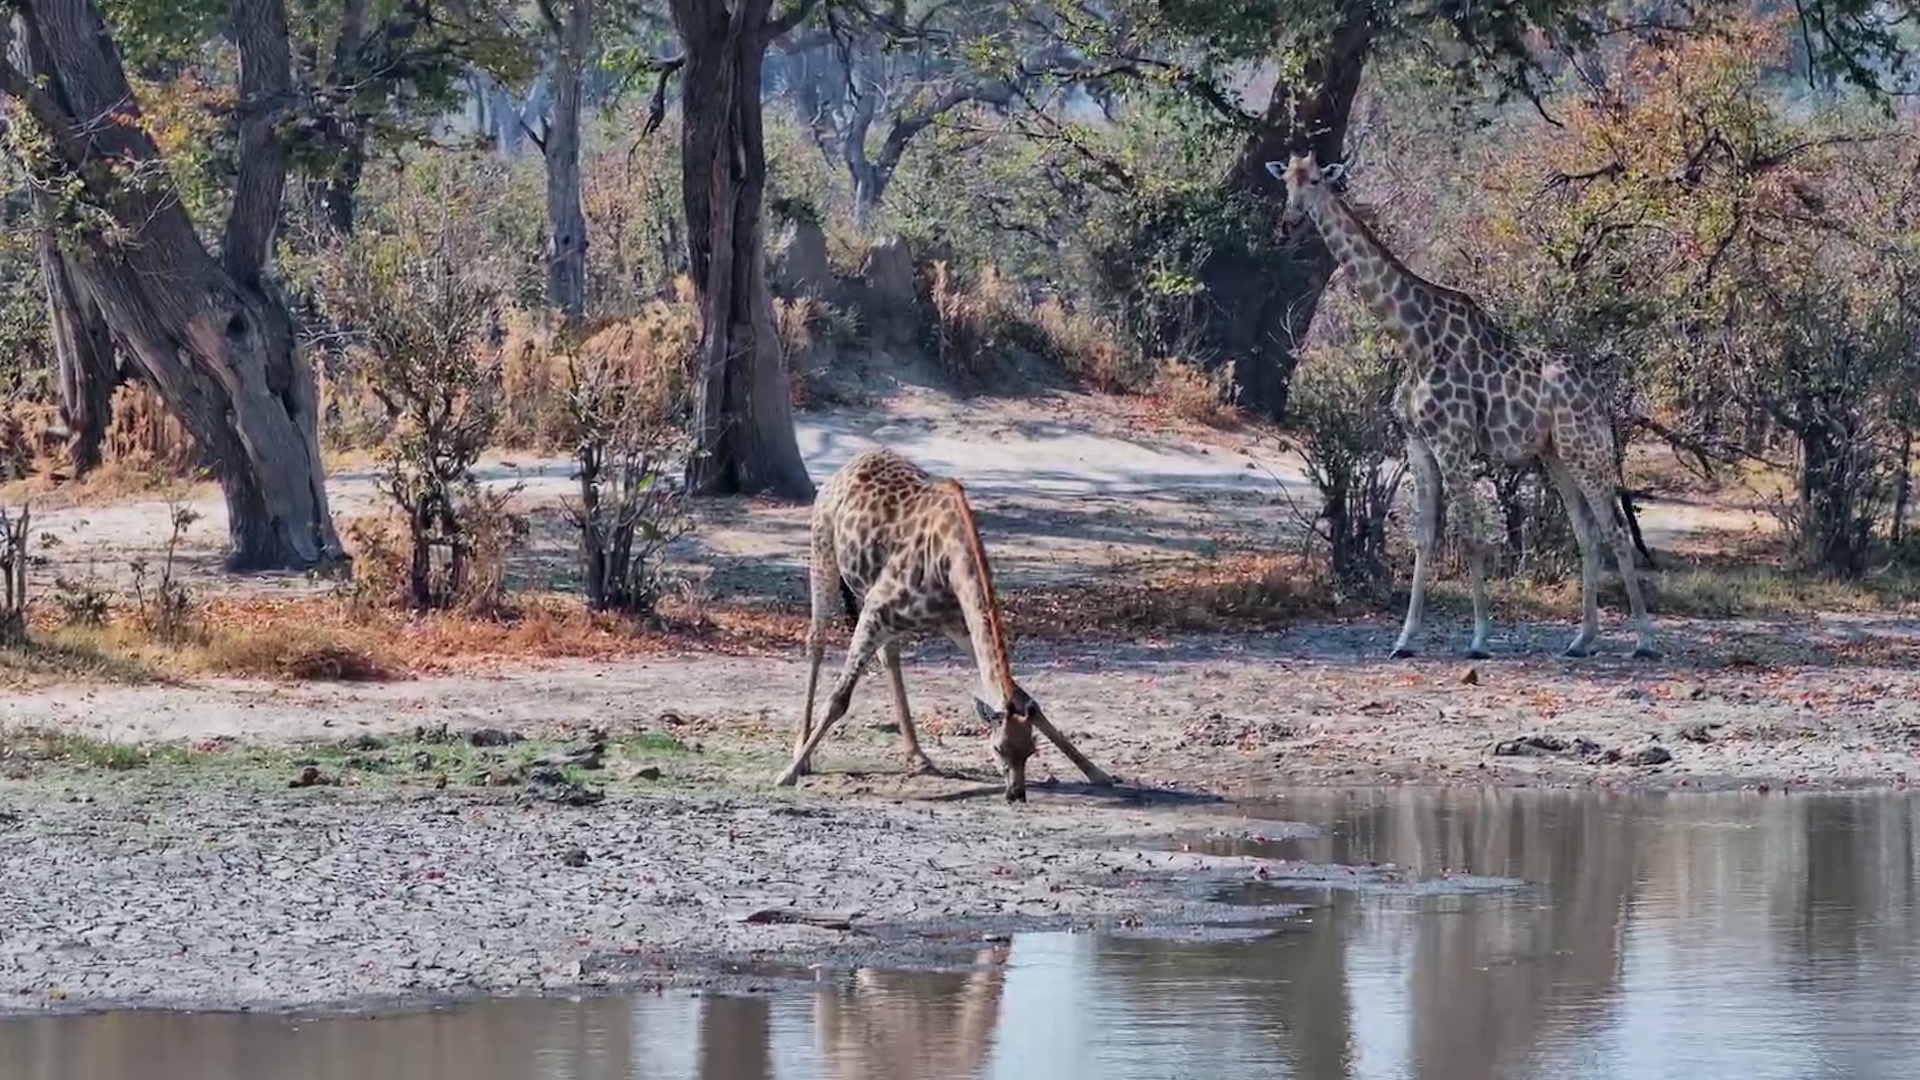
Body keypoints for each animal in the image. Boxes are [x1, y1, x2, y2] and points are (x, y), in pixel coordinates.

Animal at [773, 446, 1114, 801]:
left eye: (1030, 751)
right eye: (998, 749)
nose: (1016, 794)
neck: (950, 565)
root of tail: (846, 468)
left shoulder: (958, 624)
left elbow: (1021, 694)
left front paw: (1097, 772)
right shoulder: (875, 611)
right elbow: (839, 700)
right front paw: (787, 773)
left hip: (869, 593)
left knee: (888, 655)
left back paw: (919, 757)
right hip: (823, 552)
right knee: (817, 641)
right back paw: (803, 755)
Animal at [1266, 150, 1658, 661]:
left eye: (1314, 180)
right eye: (1286, 182)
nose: (1290, 221)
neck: (1414, 340)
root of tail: (1599, 394)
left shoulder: (1452, 441)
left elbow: (1470, 534)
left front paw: (1478, 637)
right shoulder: (1418, 443)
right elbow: (1424, 537)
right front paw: (1404, 639)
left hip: (1586, 450)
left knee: (1615, 533)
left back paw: (1644, 640)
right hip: (1556, 455)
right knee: (1587, 534)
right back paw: (1582, 639)